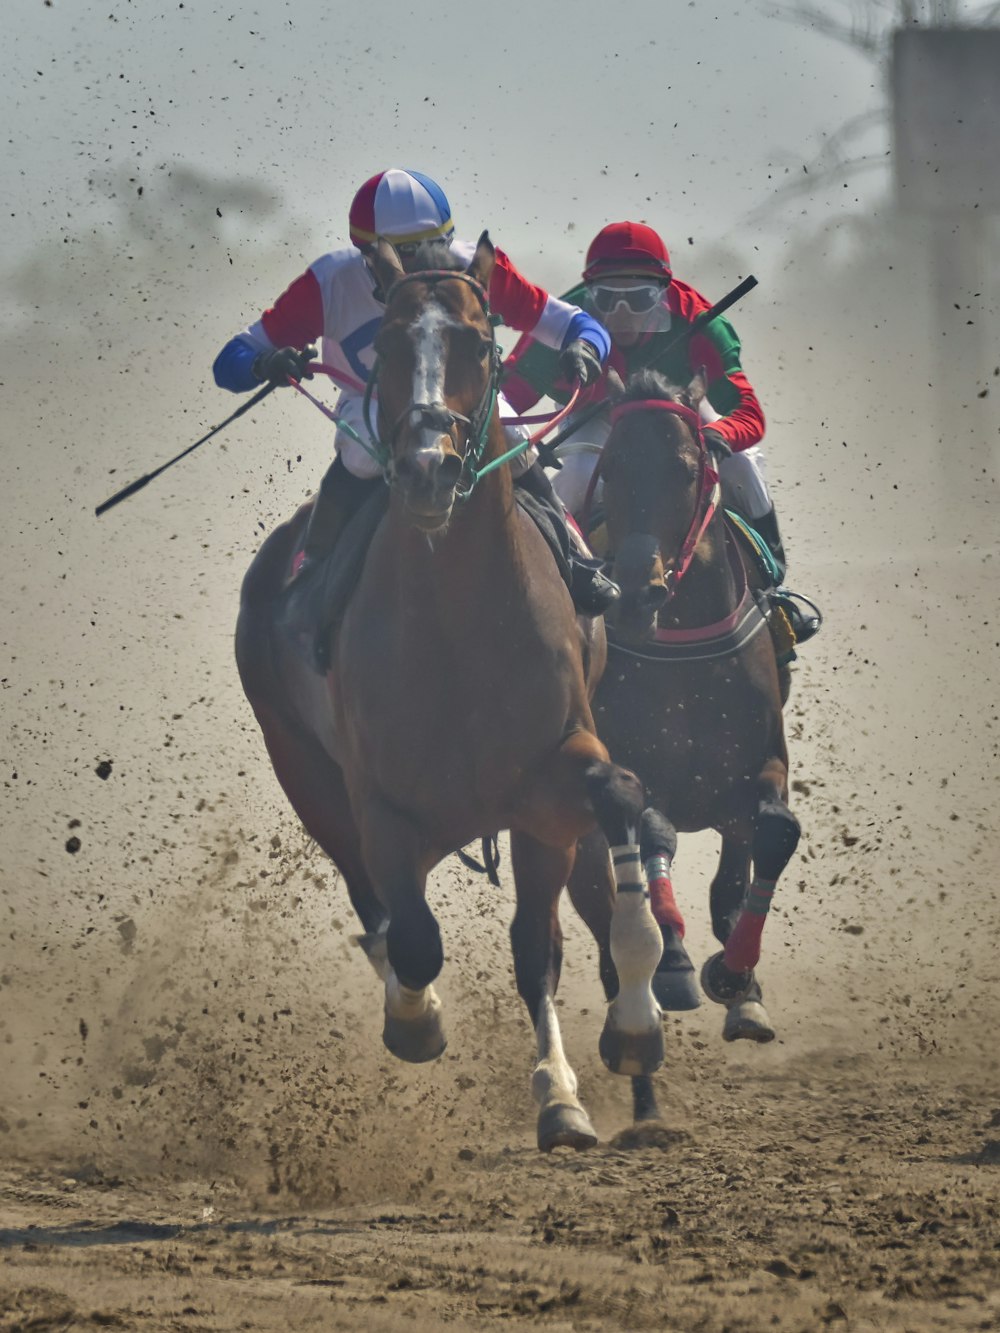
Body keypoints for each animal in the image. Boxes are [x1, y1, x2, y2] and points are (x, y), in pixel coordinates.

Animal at [237, 237, 669, 1146]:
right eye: (391, 345)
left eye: (476, 340)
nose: (429, 471)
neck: (459, 623)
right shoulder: (382, 806)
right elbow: (414, 940)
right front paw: (418, 1019)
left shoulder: (550, 781)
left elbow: (605, 820)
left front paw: (613, 1046)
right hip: (306, 775)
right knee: (376, 912)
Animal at [568, 370, 805, 1077]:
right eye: (614, 467)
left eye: (686, 468)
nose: (635, 588)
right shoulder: (630, 760)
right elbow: (653, 831)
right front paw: (673, 964)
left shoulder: (762, 760)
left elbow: (775, 832)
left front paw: (736, 977)